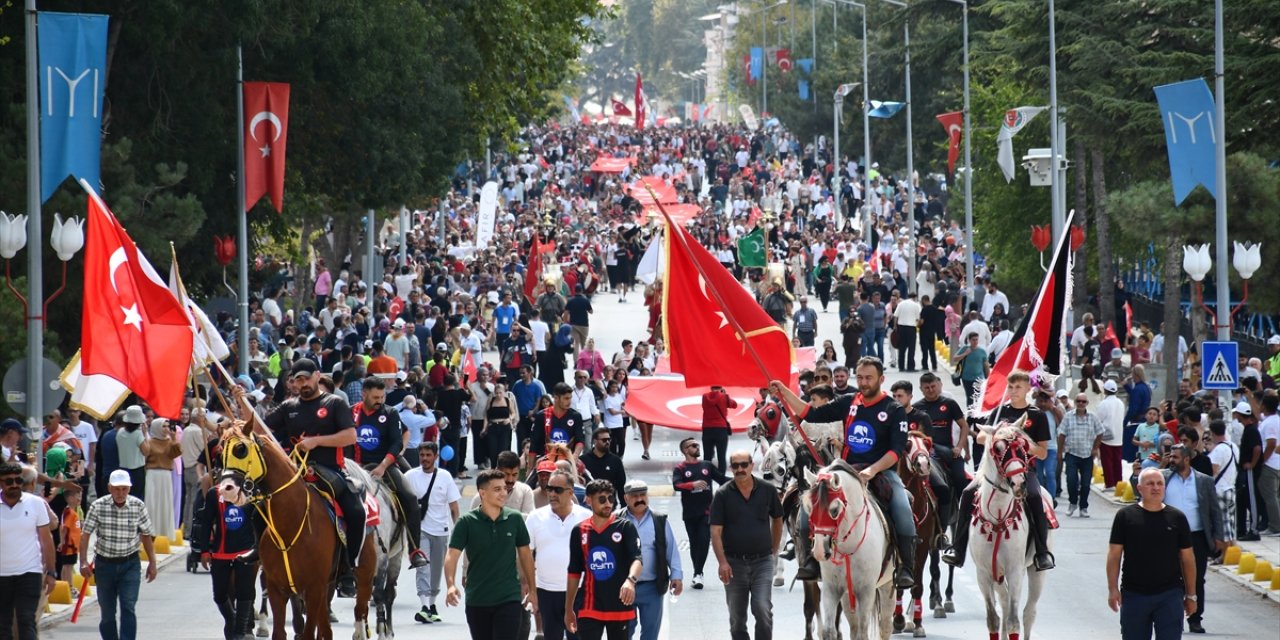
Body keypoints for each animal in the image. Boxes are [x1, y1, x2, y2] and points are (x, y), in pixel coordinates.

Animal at [221, 419, 373, 640]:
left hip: (362, 580)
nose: (226, 489)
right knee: (326, 630)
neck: (289, 524)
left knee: (359, 612)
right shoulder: (277, 589)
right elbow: (280, 632)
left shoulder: (313, 589)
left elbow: (308, 633)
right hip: (325, 588)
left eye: (241, 449)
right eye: (221, 451)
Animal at [798, 460, 890, 640]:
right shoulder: (832, 588)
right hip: (848, 595)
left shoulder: (866, 591)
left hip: (887, 585)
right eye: (809, 508)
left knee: (884, 626)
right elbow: (829, 631)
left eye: (834, 510)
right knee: (854, 627)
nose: (819, 552)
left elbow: (863, 631)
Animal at [967, 424, 1049, 640]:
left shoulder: (1014, 571)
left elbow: (1013, 621)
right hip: (998, 575)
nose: (1019, 484)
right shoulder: (984, 573)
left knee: (1028, 613)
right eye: (998, 449)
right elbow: (992, 619)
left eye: (1022, 447)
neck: (997, 517)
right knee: (1003, 604)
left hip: (1036, 573)